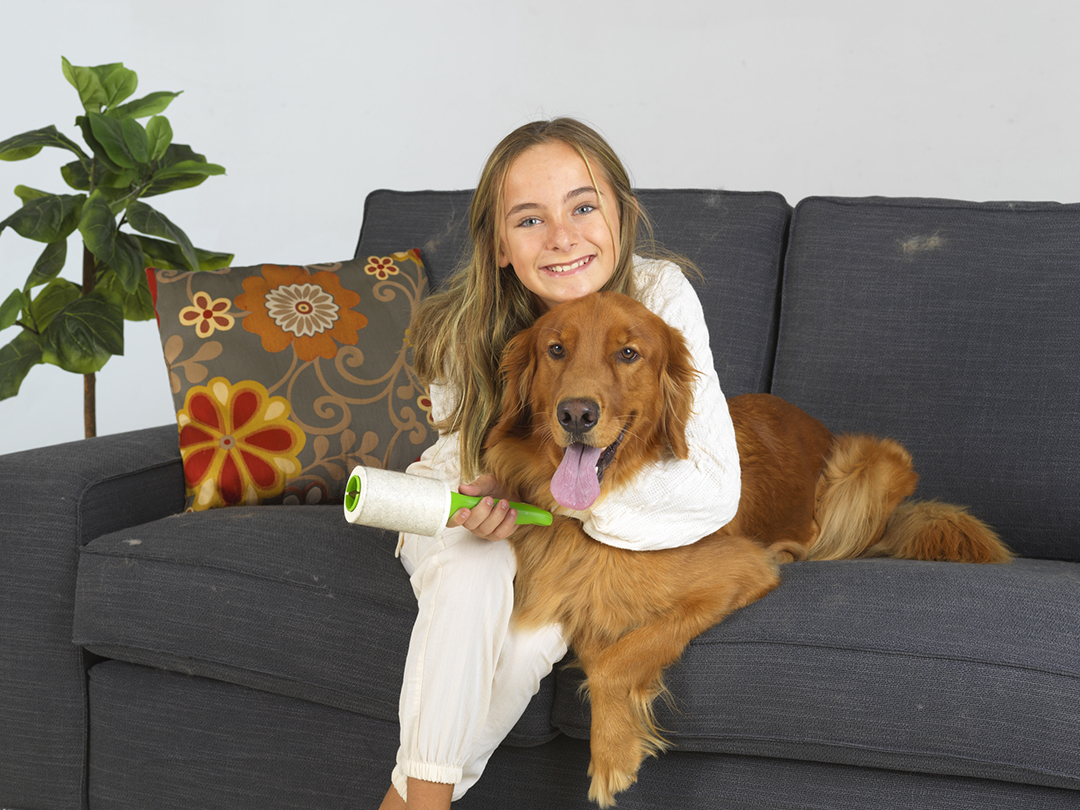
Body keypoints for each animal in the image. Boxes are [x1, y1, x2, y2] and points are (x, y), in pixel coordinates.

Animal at [482, 291, 1012, 807]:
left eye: (628, 353)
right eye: (556, 349)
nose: (576, 413)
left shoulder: (738, 570)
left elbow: (616, 661)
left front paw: (613, 752)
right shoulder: (584, 597)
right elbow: (599, 648)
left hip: (872, 467)